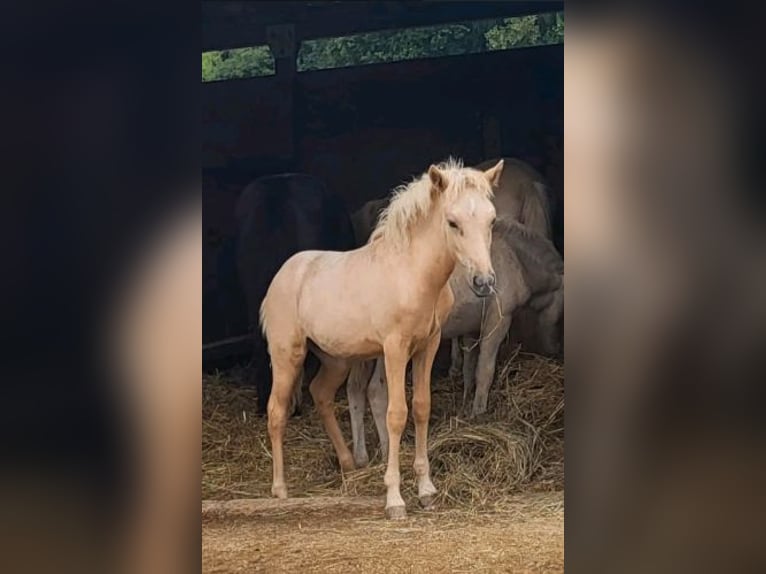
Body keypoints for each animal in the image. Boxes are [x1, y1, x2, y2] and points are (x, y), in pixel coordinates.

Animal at [260, 159, 508, 520]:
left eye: (491, 220)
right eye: (452, 222)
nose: (483, 282)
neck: (413, 275)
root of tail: (281, 276)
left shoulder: (428, 346)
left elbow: (421, 408)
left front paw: (426, 491)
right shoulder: (394, 349)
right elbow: (396, 414)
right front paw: (395, 500)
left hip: (336, 360)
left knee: (320, 394)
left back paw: (348, 464)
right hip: (287, 355)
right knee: (276, 411)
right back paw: (280, 490)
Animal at [348, 219, 564, 468]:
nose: (556, 350)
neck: (516, 259)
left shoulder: (470, 328)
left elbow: (469, 367)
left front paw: (466, 404)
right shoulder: (498, 321)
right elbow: (485, 370)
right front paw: (479, 414)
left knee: (355, 390)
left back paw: (360, 457)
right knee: (376, 391)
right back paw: (387, 452)